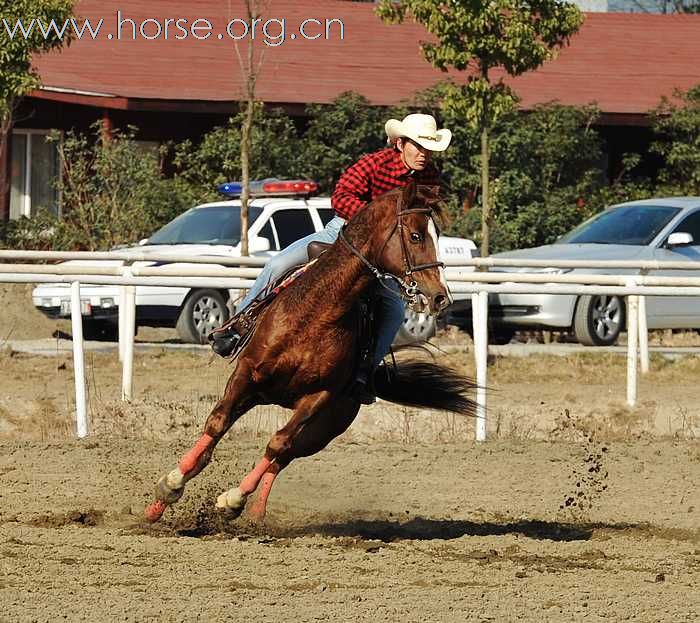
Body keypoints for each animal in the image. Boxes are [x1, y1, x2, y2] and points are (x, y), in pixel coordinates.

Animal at [145, 182, 478, 528]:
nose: (441, 296)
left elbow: (277, 442)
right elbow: (216, 424)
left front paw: (231, 500)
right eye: (415, 236)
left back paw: (255, 512)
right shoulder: (247, 374)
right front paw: (170, 486)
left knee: (283, 456)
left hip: (325, 428)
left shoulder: (319, 397)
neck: (317, 311)